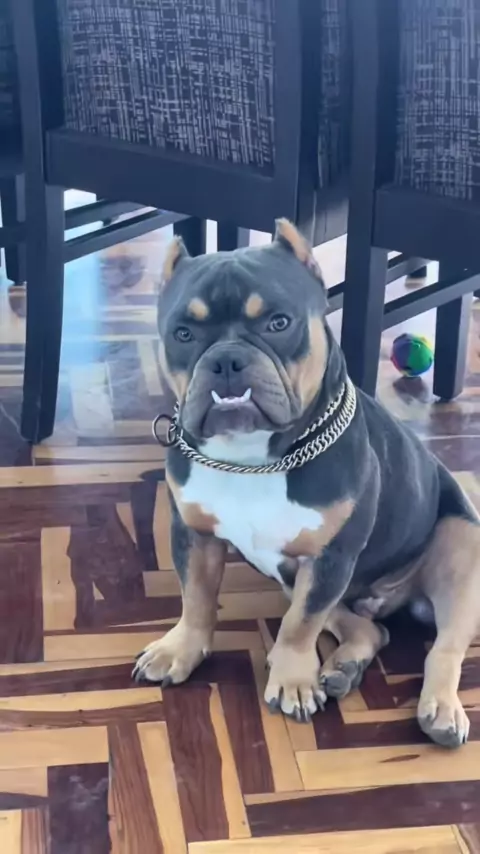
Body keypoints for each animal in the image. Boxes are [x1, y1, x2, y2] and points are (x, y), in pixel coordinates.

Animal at [134, 220, 480, 748]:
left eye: (279, 323)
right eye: (183, 333)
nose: (227, 360)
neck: (252, 460)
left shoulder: (329, 558)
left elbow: (299, 626)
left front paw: (294, 679)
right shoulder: (194, 534)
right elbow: (196, 596)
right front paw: (181, 650)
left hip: (462, 551)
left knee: (445, 646)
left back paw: (439, 708)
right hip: (299, 578)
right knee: (370, 631)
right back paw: (342, 667)